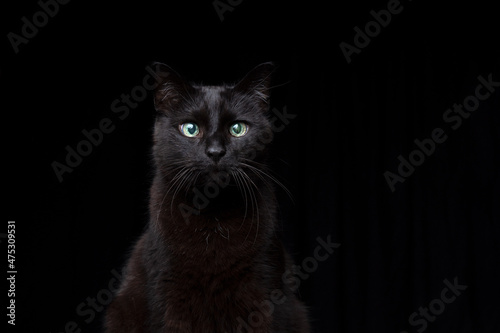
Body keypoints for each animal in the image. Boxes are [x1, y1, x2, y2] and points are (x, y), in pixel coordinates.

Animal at [105, 62, 308, 332]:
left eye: (237, 129)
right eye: (190, 129)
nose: (215, 151)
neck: (214, 216)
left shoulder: (262, 287)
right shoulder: (170, 293)